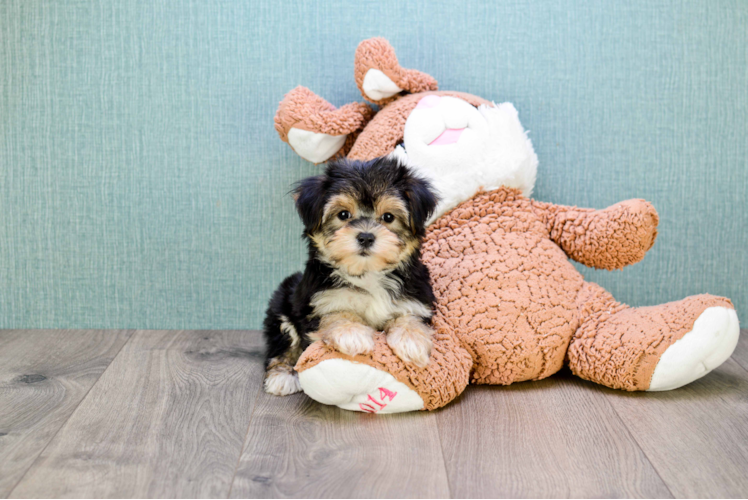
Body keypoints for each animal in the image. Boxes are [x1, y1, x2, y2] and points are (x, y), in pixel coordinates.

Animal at [262, 155, 438, 394]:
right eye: (343, 215)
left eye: (388, 217)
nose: (366, 237)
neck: (367, 274)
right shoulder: (320, 302)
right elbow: (338, 313)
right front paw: (352, 333)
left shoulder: (414, 299)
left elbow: (410, 316)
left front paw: (411, 340)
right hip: (282, 303)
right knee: (284, 342)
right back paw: (283, 375)